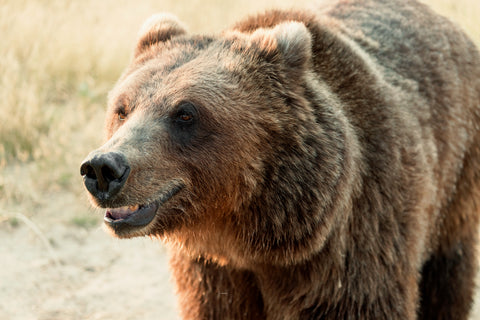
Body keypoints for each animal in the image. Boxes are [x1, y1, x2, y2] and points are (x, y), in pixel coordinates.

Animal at [80, 1, 478, 318]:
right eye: (122, 109)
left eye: (185, 114)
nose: (103, 168)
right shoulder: (213, 275)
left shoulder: (354, 244)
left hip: (455, 179)